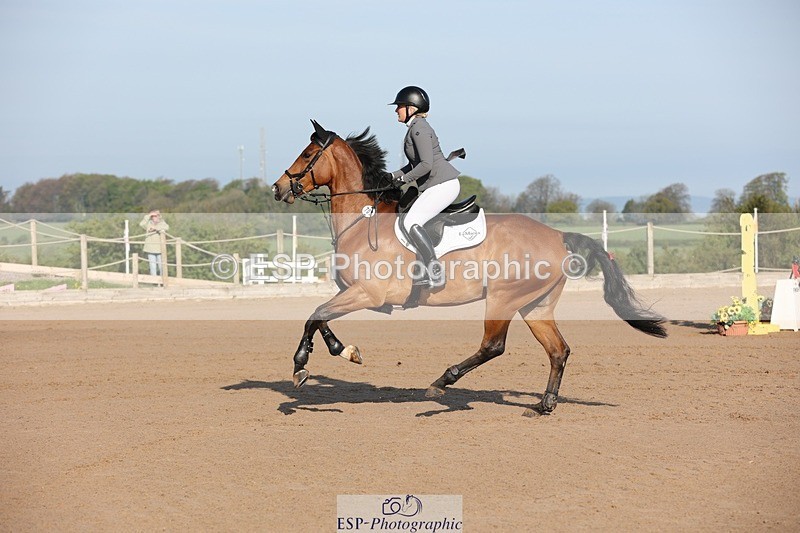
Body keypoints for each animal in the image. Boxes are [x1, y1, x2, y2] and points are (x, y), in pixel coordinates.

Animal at [272, 120, 666, 416]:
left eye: (307, 154)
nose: (278, 188)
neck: (362, 219)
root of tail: (557, 235)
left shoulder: (366, 294)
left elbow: (314, 315)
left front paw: (301, 366)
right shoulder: (350, 293)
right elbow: (320, 318)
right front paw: (344, 351)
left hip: (503, 300)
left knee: (494, 346)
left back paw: (441, 384)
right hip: (535, 305)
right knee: (558, 350)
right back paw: (544, 405)